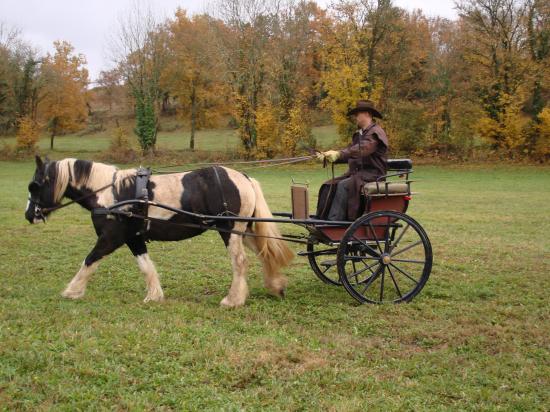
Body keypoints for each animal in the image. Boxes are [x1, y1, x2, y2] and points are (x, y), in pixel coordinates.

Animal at [25, 156, 296, 308]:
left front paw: (72, 290)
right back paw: (275, 286)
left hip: (229, 231)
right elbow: (146, 266)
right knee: (264, 254)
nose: (29, 215)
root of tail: (243, 177)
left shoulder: (110, 238)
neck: (109, 193)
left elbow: (89, 261)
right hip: (245, 231)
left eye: (34, 186)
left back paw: (233, 300)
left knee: (239, 263)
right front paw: (154, 295)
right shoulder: (133, 238)